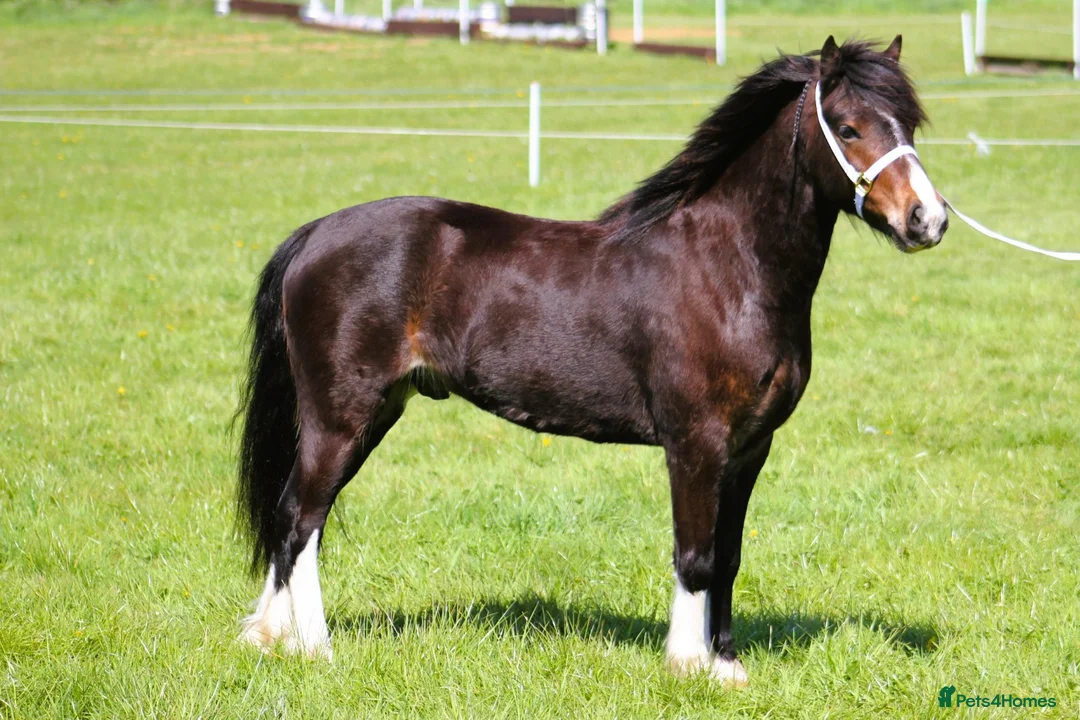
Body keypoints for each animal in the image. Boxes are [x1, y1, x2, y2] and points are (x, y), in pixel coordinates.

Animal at [235, 35, 948, 685]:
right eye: (849, 127)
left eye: (908, 124)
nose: (928, 219)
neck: (728, 269)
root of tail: (316, 234)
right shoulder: (696, 443)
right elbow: (695, 555)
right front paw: (687, 665)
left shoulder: (751, 448)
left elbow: (728, 556)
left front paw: (726, 666)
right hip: (340, 416)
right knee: (302, 517)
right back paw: (315, 648)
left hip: (374, 412)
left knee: (295, 519)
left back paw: (267, 638)